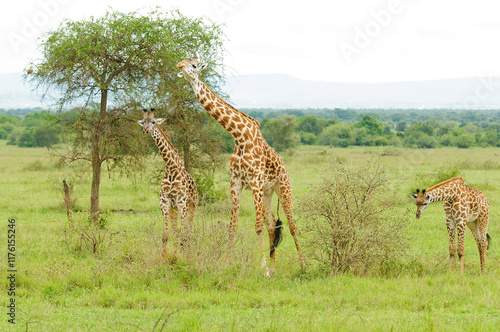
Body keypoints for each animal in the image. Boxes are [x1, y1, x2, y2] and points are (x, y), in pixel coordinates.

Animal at [138, 110, 200, 248]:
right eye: (143, 122)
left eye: (153, 122)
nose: (145, 131)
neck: (171, 168)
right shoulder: (165, 203)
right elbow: (166, 237)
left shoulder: (182, 203)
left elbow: (184, 237)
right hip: (174, 209)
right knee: (178, 235)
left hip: (192, 207)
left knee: (188, 234)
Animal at [178, 57, 306, 274]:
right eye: (182, 60)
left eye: (194, 65)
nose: (179, 67)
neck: (238, 136)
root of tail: (284, 167)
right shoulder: (235, 182)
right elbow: (233, 227)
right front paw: (225, 264)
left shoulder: (255, 182)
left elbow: (257, 226)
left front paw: (262, 269)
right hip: (267, 193)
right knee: (272, 223)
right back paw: (274, 268)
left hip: (283, 188)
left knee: (291, 225)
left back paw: (303, 265)